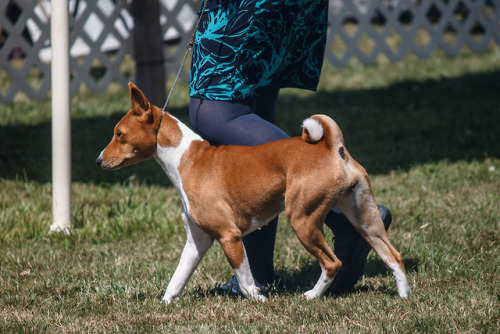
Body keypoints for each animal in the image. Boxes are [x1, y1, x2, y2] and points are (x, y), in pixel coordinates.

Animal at [96, 83, 410, 302]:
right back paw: (405, 296)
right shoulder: (196, 241)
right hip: (365, 219)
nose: (98, 161)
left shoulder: (229, 236)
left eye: (119, 134)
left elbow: (246, 281)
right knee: (394, 256)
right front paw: (165, 304)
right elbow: (177, 279)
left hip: (303, 220)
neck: (187, 159)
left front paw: (259, 299)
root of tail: (332, 147)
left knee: (332, 263)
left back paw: (311, 295)